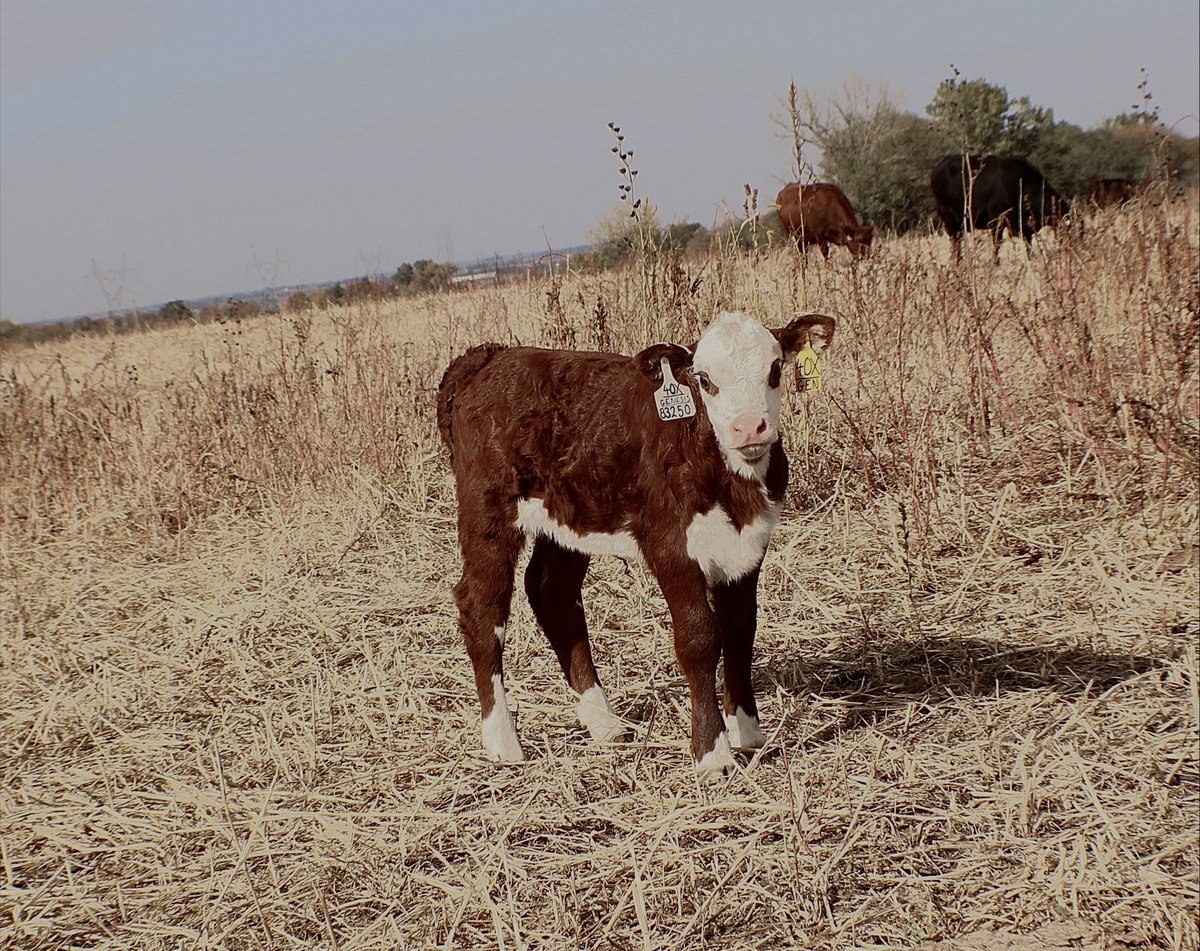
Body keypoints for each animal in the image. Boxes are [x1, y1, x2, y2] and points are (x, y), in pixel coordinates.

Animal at [437, 311, 836, 774]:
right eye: (704, 380)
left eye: (775, 369)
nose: (748, 426)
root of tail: (487, 358)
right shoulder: (669, 545)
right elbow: (699, 638)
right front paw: (712, 752)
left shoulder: (750, 544)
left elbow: (741, 629)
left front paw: (749, 735)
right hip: (487, 509)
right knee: (482, 607)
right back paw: (503, 742)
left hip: (570, 517)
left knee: (553, 593)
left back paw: (605, 725)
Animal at [930, 154, 1070, 260]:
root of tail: (939, 166)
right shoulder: (997, 220)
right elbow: (997, 243)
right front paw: (995, 263)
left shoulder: (1025, 227)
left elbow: (1028, 245)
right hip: (948, 219)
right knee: (955, 240)